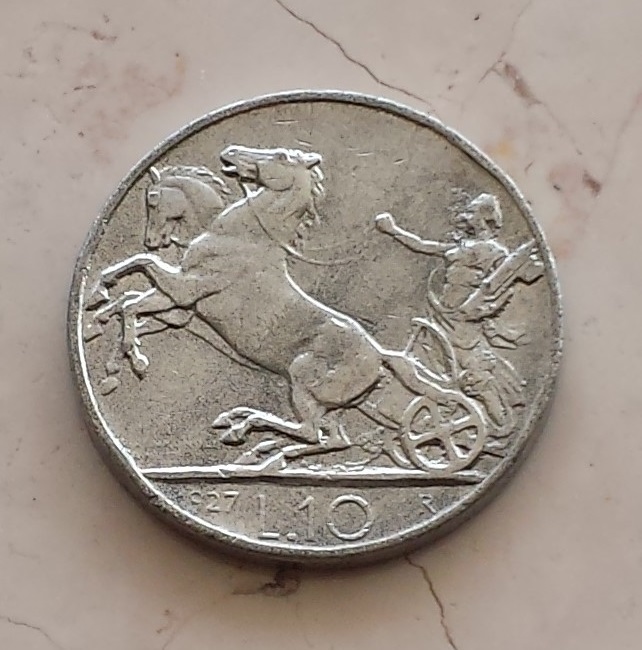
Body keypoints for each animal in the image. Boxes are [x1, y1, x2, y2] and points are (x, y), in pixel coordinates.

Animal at [88, 145, 477, 459]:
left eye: (153, 198)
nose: (230, 153)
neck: (240, 235)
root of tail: (381, 355)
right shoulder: (181, 305)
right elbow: (132, 302)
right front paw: (111, 347)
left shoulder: (185, 289)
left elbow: (137, 274)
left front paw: (107, 309)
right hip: (343, 402)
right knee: (331, 438)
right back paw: (262, 444)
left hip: (302, 379)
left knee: (311, 431)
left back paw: (246, 430)